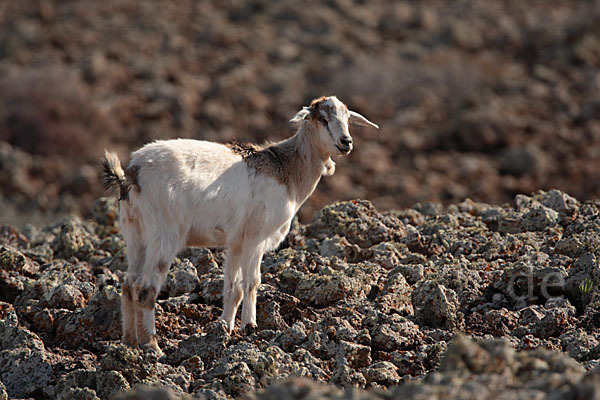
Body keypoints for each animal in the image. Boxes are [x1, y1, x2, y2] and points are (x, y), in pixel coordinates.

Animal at [101, 94, 378, 354]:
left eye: (348, 118)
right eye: (322, 119)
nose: (346, 142)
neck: (286, 169)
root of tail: (132, 173)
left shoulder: (234, 241)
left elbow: (232, 289)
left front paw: (225, 327)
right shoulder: (255, 237)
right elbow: (251, 282)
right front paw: (250, 326)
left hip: (135, 231)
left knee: (128, 283)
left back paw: (129, 342)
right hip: (164, 234)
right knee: (146, 288)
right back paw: (152, 346)